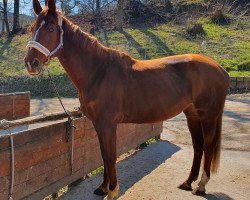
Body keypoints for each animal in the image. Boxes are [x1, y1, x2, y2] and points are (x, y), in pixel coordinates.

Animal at [24, 0, 229, 199]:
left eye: (51, 29)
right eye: (32, 28)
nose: (30, 63)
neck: (99, 71)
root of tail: (219, 68)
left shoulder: (108, 123)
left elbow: (110, 156)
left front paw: (112, 190)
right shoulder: (98, 123)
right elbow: (103, 155)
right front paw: (103, 188)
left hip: (208, 116)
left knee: (208, 146)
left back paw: (201, 186)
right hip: (192, 114)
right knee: (198, 146)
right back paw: (187, 183)